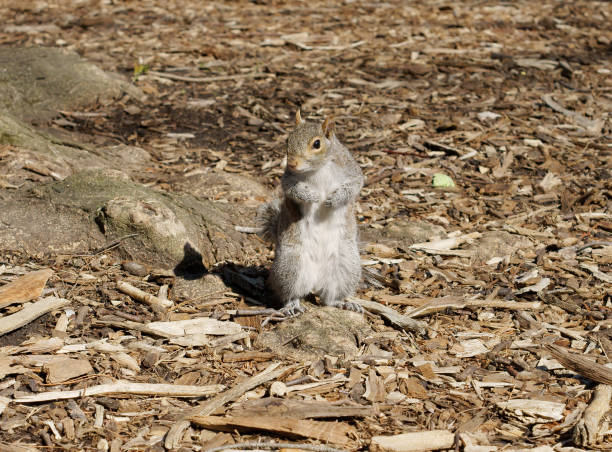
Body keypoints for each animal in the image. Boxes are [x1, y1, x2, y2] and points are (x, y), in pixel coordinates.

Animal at [258, 110, 364, 316]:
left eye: (317, 144)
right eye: (288, 139)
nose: (291, 162)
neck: (319, 168)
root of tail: (316, 281)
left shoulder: (351, 170)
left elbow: (354, 185)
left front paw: (335, 199)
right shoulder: (288, 178)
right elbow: (292, 189)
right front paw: (311, 195)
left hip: (346, 266)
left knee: (328, 298)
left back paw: (343, 303)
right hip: (291, 263)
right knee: (292, 292)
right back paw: (292, 306)